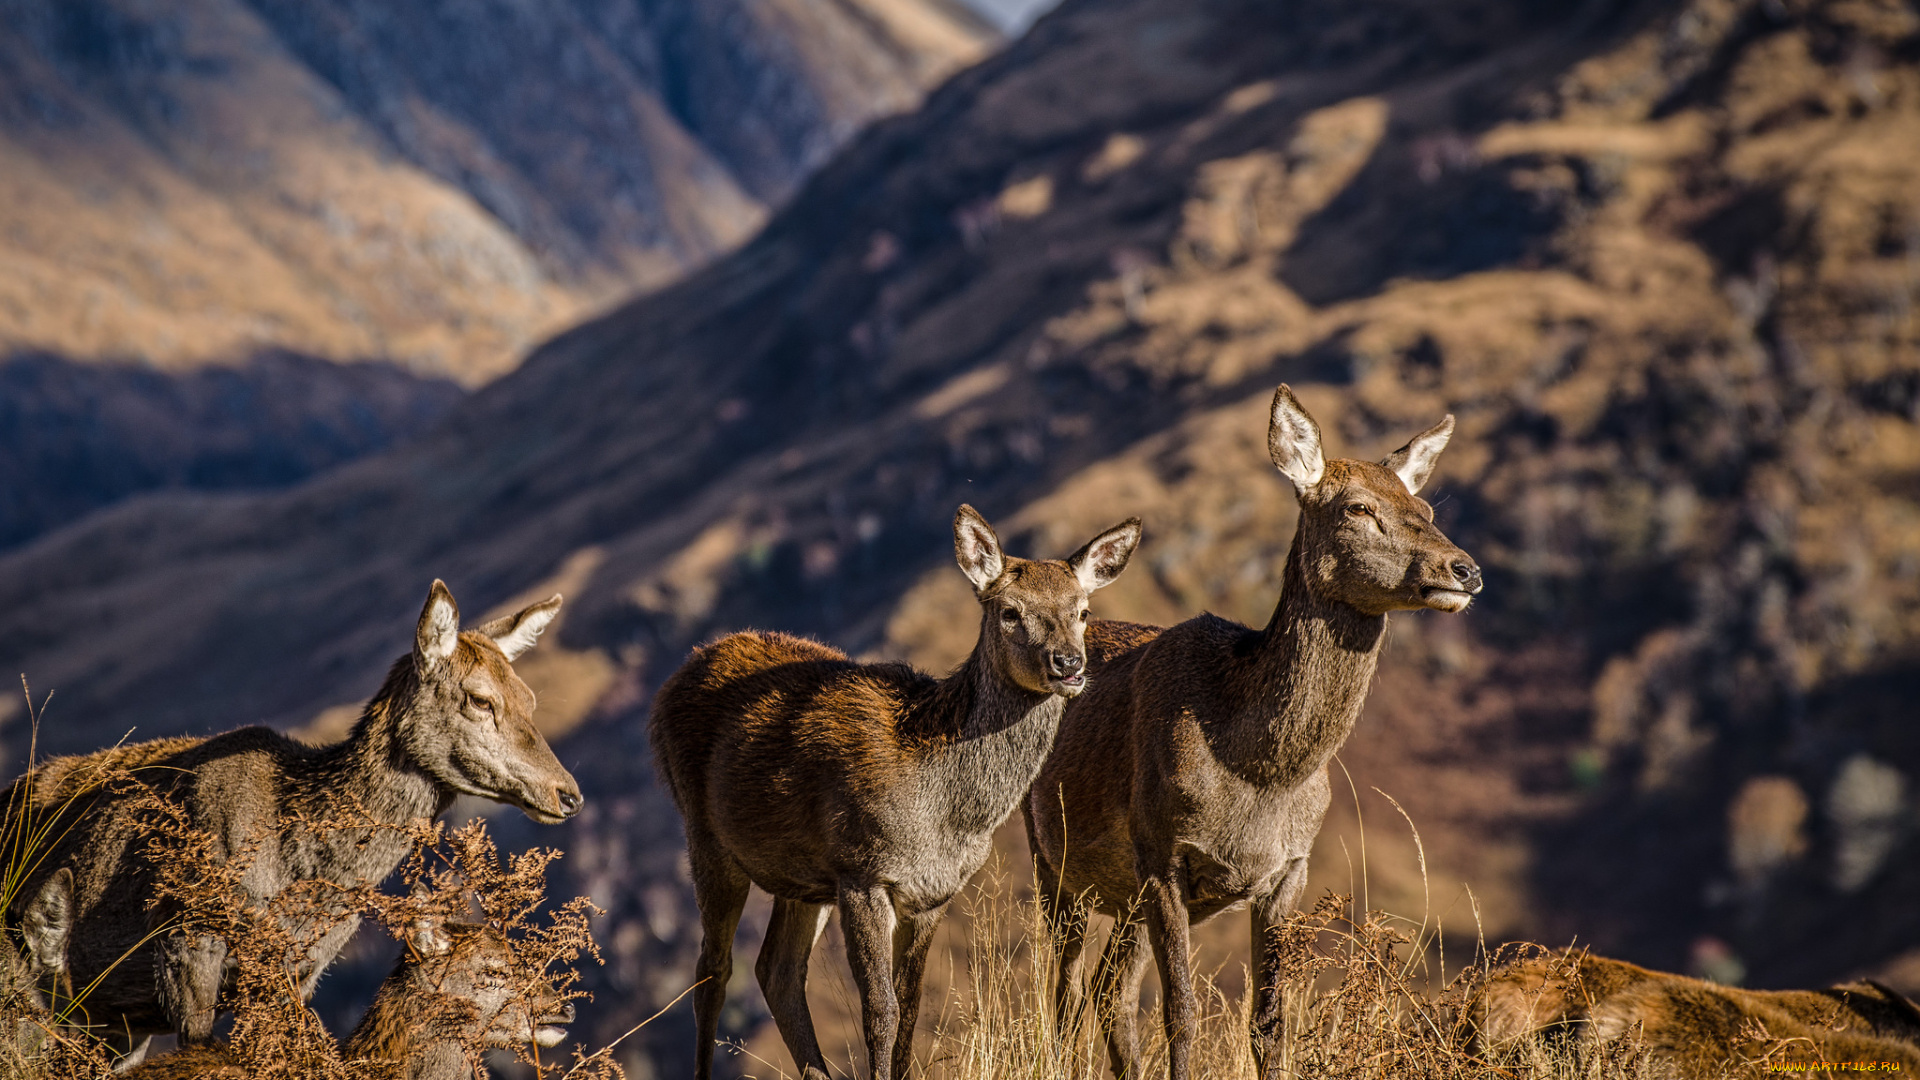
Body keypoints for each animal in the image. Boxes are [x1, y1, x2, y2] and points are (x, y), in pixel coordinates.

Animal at [652, 503, 1144, 1076]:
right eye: (1010, 612)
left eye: (1083, 611)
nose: (1068, 663)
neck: (946, 813)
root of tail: (682, 671)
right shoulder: (863, 872)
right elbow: (881, 1010)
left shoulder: (931, 893)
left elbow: (909, 1008)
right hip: (706, 836)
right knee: (712, 971)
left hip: (803, 877)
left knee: (776, 970)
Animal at [1021, 386, 1482, 1076]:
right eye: (1359, 507)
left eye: (1424, 506)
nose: (1465, 570)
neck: (1258, 771)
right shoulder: (1162, 850)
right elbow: (1181, 1013)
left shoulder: (1288, 870)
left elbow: (1269, 1022)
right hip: (1053, 859)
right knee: (1068, 994)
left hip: (1122, 896)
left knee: (1109, 990)